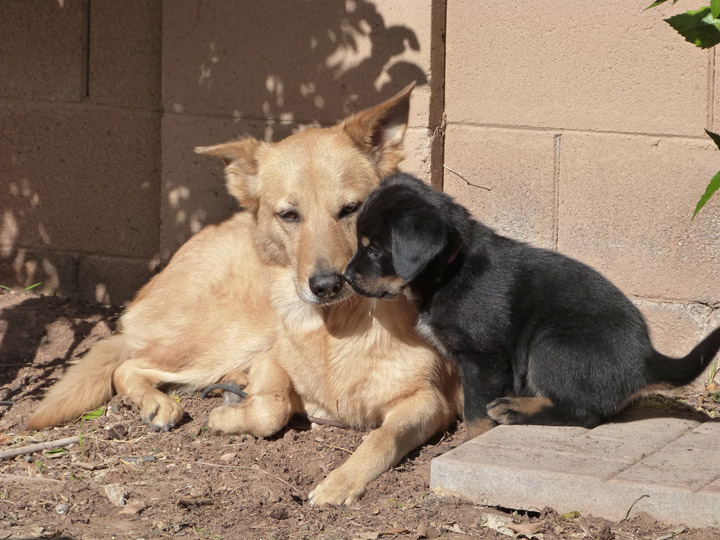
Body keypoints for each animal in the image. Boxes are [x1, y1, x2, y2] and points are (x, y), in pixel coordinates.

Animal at [26, 85, 462, 506]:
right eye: (289, 215)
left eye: (351, 209)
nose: (326, 285)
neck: (336, 329)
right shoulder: (272, 358)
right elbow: (272, 407)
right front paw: (228, 417)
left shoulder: (429, 403)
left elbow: (381, 437)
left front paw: (340, 482)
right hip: (231, 336)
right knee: (128, 365)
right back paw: (160, 403)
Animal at [344, 173, 720, 438]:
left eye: (374, 250)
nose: (345, 277)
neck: (449, 270)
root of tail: (646, 358)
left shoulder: (483, 358)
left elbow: (475, 413)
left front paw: (472, 441)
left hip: (551, 343)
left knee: (584, 413)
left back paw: (515, 409)